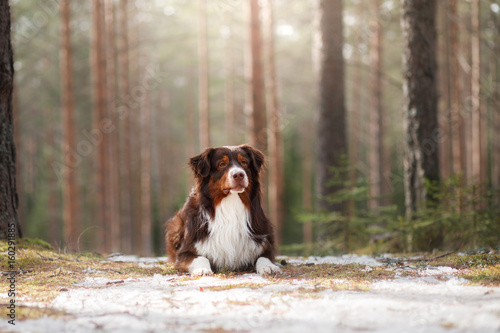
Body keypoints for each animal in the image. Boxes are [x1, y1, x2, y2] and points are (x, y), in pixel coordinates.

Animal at [165, 143, 280, 274]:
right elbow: (201, 257)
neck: (231, 203)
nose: (239, 175)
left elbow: (264, 257)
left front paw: (269, 266)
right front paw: (202, 269)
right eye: (222, 164)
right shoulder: (185, 251)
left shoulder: (263, 244)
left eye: (244, 162)